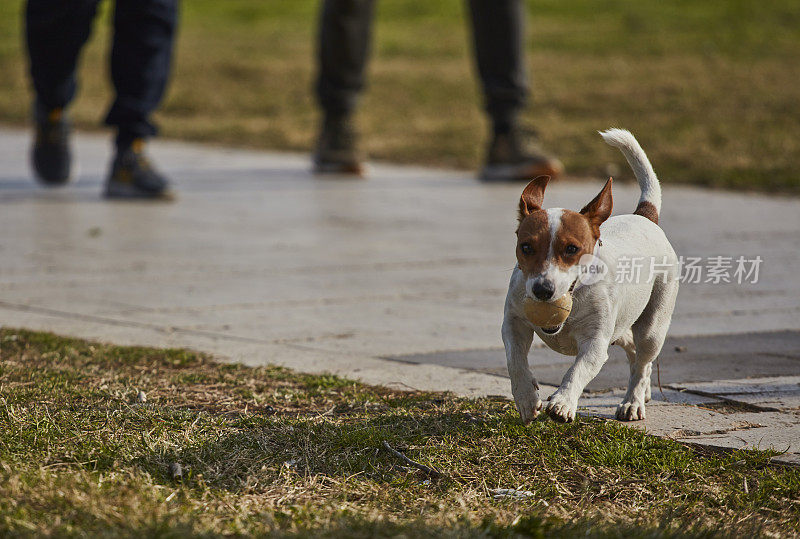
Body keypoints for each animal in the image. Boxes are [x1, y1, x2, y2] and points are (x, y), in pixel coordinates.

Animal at [504, 129, 680, 424]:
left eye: (571, 249)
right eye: (526, 247)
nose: (542, 290)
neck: (575, 297)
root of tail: (644, 217)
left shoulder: (596, 342)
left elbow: (579, 369)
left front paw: (563, 401)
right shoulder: (513, 323)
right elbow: (515, 360)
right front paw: (527, 398)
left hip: (653, 324)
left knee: (643, 361)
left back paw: (633, 401)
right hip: (621, 327)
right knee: (633, 352)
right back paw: (643, 393)